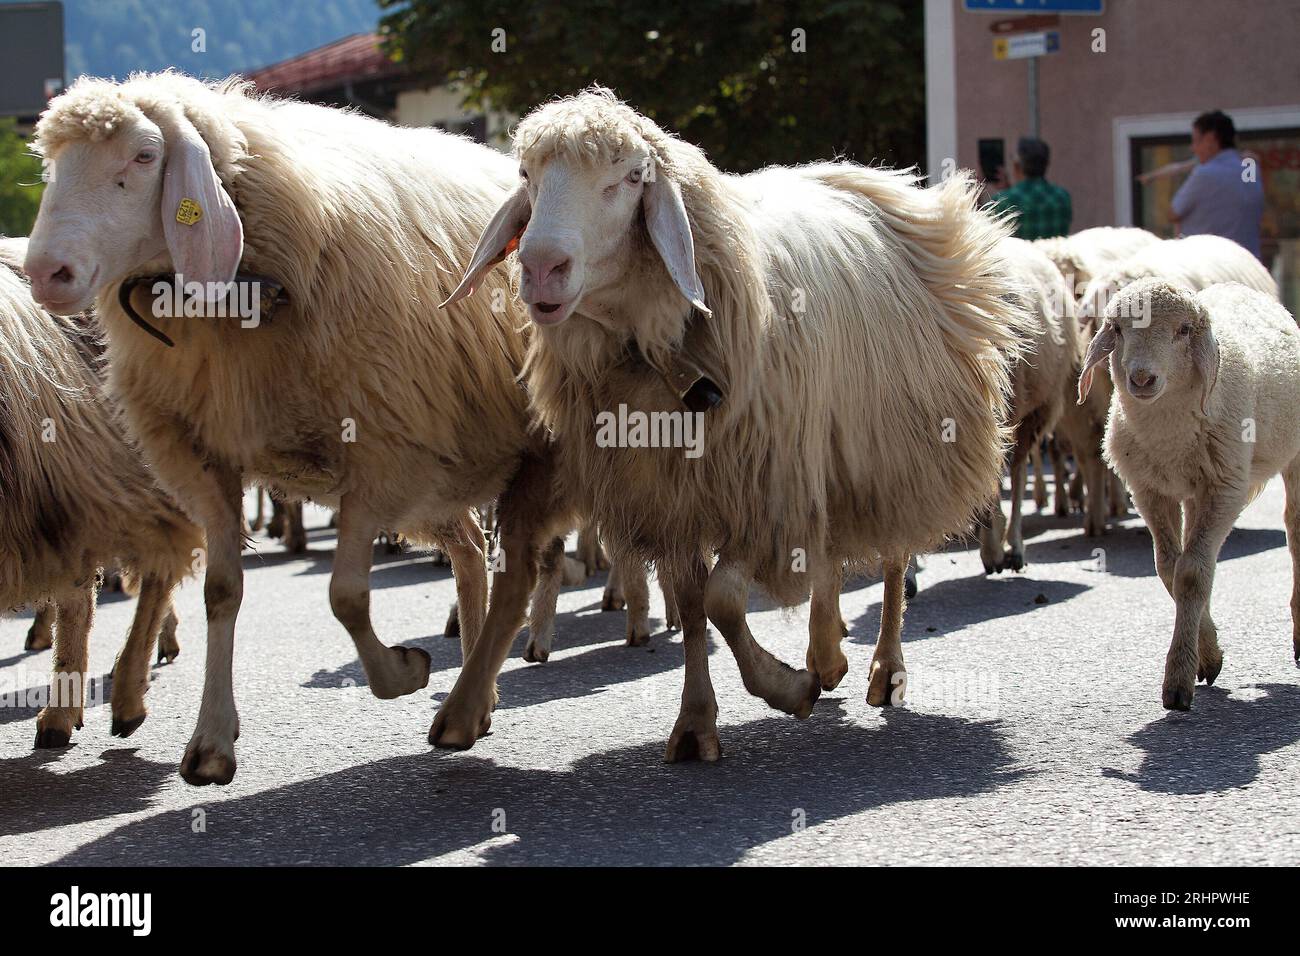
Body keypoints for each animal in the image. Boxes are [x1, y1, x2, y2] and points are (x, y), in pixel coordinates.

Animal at [25, 72, 580, 784]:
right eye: (52, 165)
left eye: (145, 156)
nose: (46, 274)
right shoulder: (208, 457)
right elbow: (222, 591)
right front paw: (211, 743)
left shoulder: (378, 449)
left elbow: (346, 596)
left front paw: (400, 673)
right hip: (444, 471)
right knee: (469, 553)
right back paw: (473, 696)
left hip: (499, 457)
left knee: (510, 569)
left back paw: (467, 700)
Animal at [437, 88, 1029, 757]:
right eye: (526, 177)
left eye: (632, 178)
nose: (541, 267)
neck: (652, 351)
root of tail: (872, 180)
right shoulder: (674, 494)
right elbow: (695, 607)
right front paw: (697, 721)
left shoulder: (762, 489)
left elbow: (723, 600)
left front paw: (785, 689)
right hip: (823, 455)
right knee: (827, 553)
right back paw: (827, 654)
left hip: (892, 443)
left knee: (894, 557)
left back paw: (883, 669)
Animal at [1078, 278, 1300, 709]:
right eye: (1117, 329)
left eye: (1183, 330)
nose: (1141, 379)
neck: (1168, 434)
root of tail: (1241, 287)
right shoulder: (1149, 491)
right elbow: (1171, 568)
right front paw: (1206, 653)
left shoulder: (1225, 489)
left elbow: (1193, 573)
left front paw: (1178, 680)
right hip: (1192, 490)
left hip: (1292, 456)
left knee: (1295, 534)